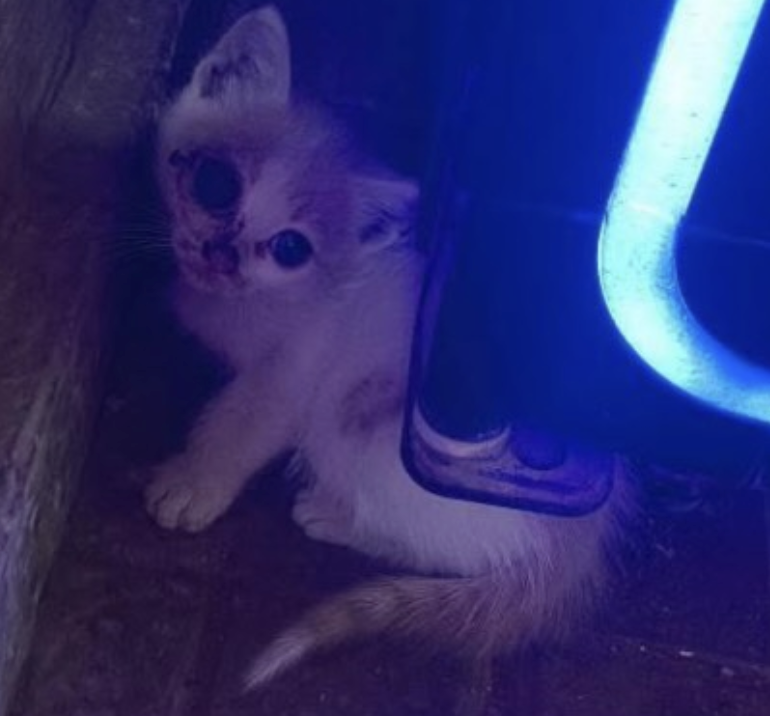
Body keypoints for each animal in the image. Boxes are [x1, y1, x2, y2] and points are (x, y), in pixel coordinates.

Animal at [146, 4, 634, 690]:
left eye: (290, 247)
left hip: (366, 433)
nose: (221, 255)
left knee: (447, 551)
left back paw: (332, 515)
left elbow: (241, 424)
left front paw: (193, 482)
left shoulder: (292, 372)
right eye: (214, 182)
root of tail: (577, 544)